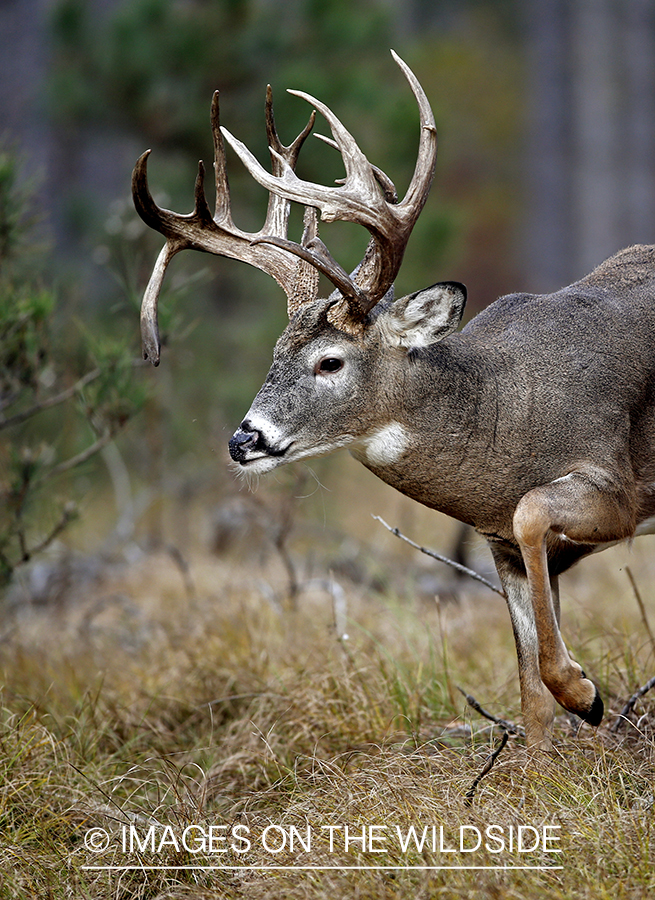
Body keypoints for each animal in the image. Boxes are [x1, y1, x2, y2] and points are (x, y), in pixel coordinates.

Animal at [131, 52, 655, 748]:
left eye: (330, 361)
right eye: (275, 351)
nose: (245, 440)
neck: (504, 414)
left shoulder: (615, 486)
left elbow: (533, 513)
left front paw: (586, 694)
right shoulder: (498, 543)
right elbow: (528, 693)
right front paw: (543, 759)